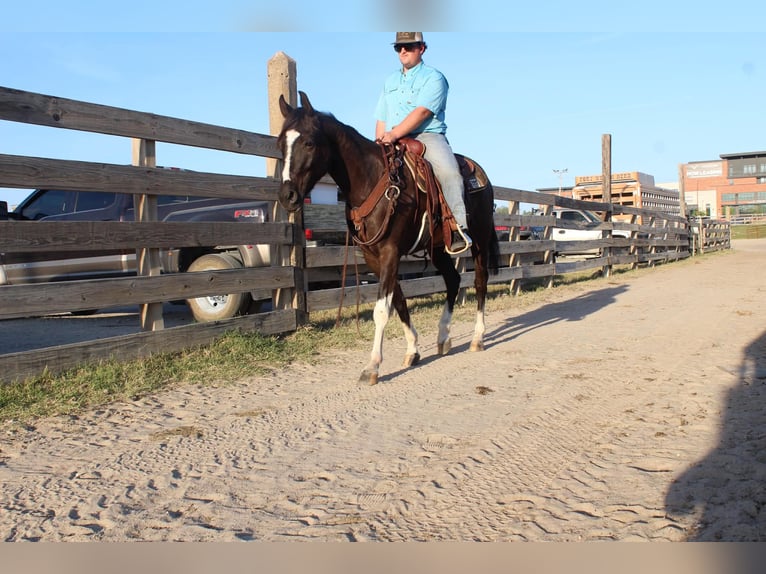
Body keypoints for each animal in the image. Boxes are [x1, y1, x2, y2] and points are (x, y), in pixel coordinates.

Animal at [277, 91, 499, 385]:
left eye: (309, 143)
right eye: (280, 144)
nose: (287, 196)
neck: (373, 181)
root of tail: (481, 174)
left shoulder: (391, 252)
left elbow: (382, 310)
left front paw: (372, 366)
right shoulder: (373, 257)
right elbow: (399, 301)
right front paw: (413, 350)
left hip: (481, 239)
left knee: (480, 281)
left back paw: (477, 338)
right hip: (439, 248)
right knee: (452, 281)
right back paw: (443, 337)